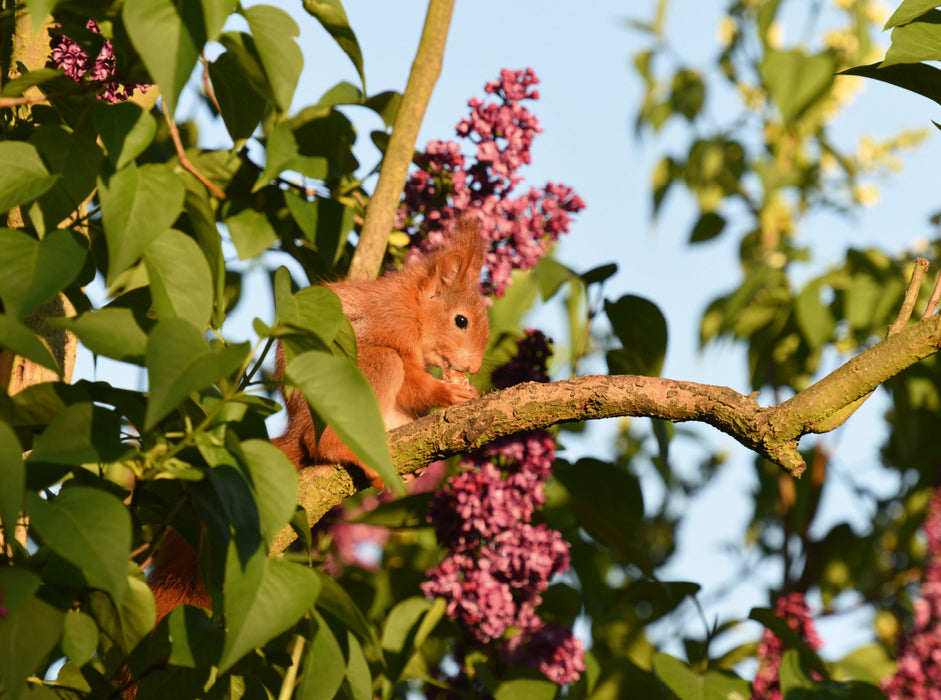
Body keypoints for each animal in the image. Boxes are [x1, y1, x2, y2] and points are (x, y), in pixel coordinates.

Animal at [144, 216, 490, 630]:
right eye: (461, 320)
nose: (473, 366)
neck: (412, 307)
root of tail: (296, 426)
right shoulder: (390, 329)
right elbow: (412, 382)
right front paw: (448, 392)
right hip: (363, 373)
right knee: (320, 443)